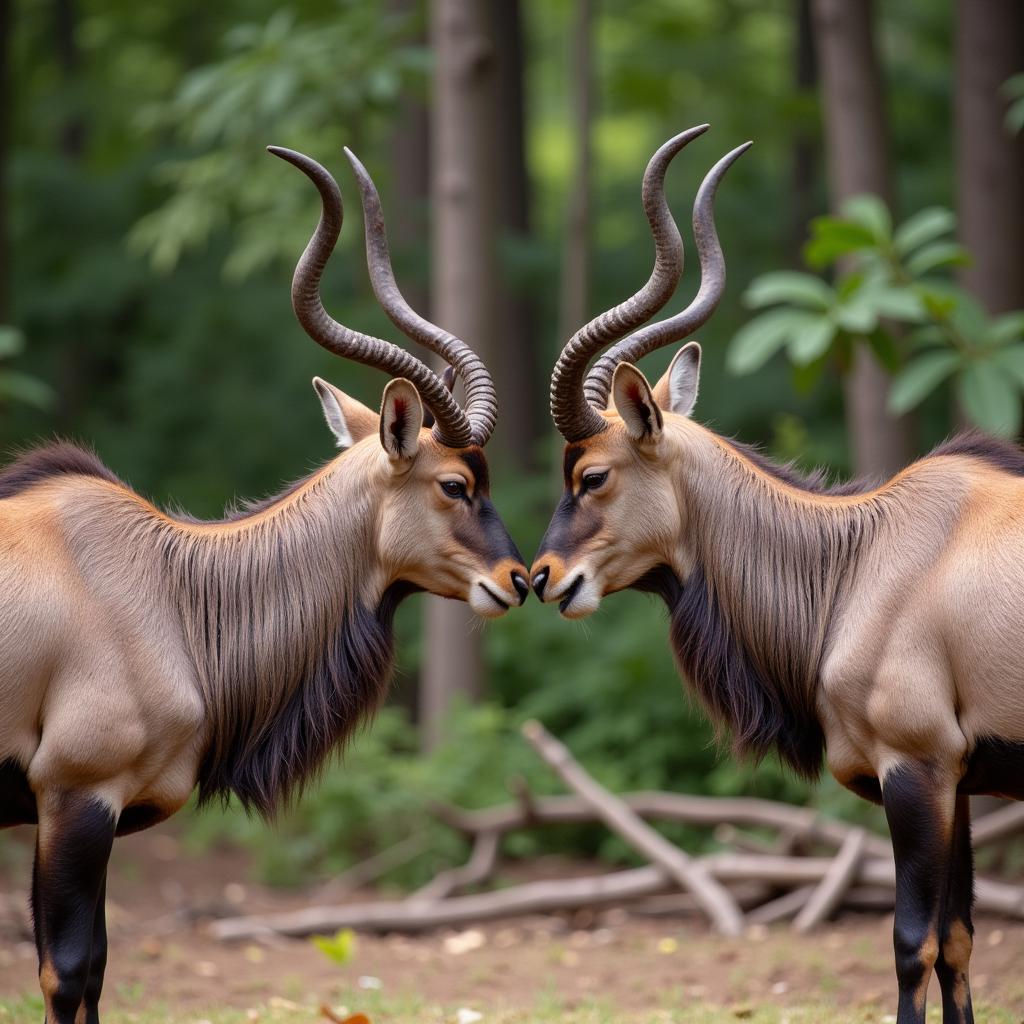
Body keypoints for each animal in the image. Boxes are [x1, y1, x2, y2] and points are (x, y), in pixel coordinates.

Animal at [0, 144, 528, 1024]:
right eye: (455, 484)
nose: (520, 580)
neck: (168, 586)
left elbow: (97, 967)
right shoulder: (74, 795)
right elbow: (67, 971)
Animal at [532, 125, 1019, 1024]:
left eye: (592, 475)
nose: (543, 577)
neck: (861, 557)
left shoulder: (919, 770)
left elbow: (915, 943)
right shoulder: (959, 783)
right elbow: (962, 943)